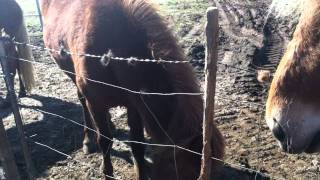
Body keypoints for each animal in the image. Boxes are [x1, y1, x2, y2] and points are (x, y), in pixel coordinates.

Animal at [41, 0, 224, 179]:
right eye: (183, 170)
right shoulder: (95, 103)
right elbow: (105, 140)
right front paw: (107, 171)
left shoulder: (135, 104)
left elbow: (137, 143)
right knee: (82, 102)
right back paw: (88, 141)